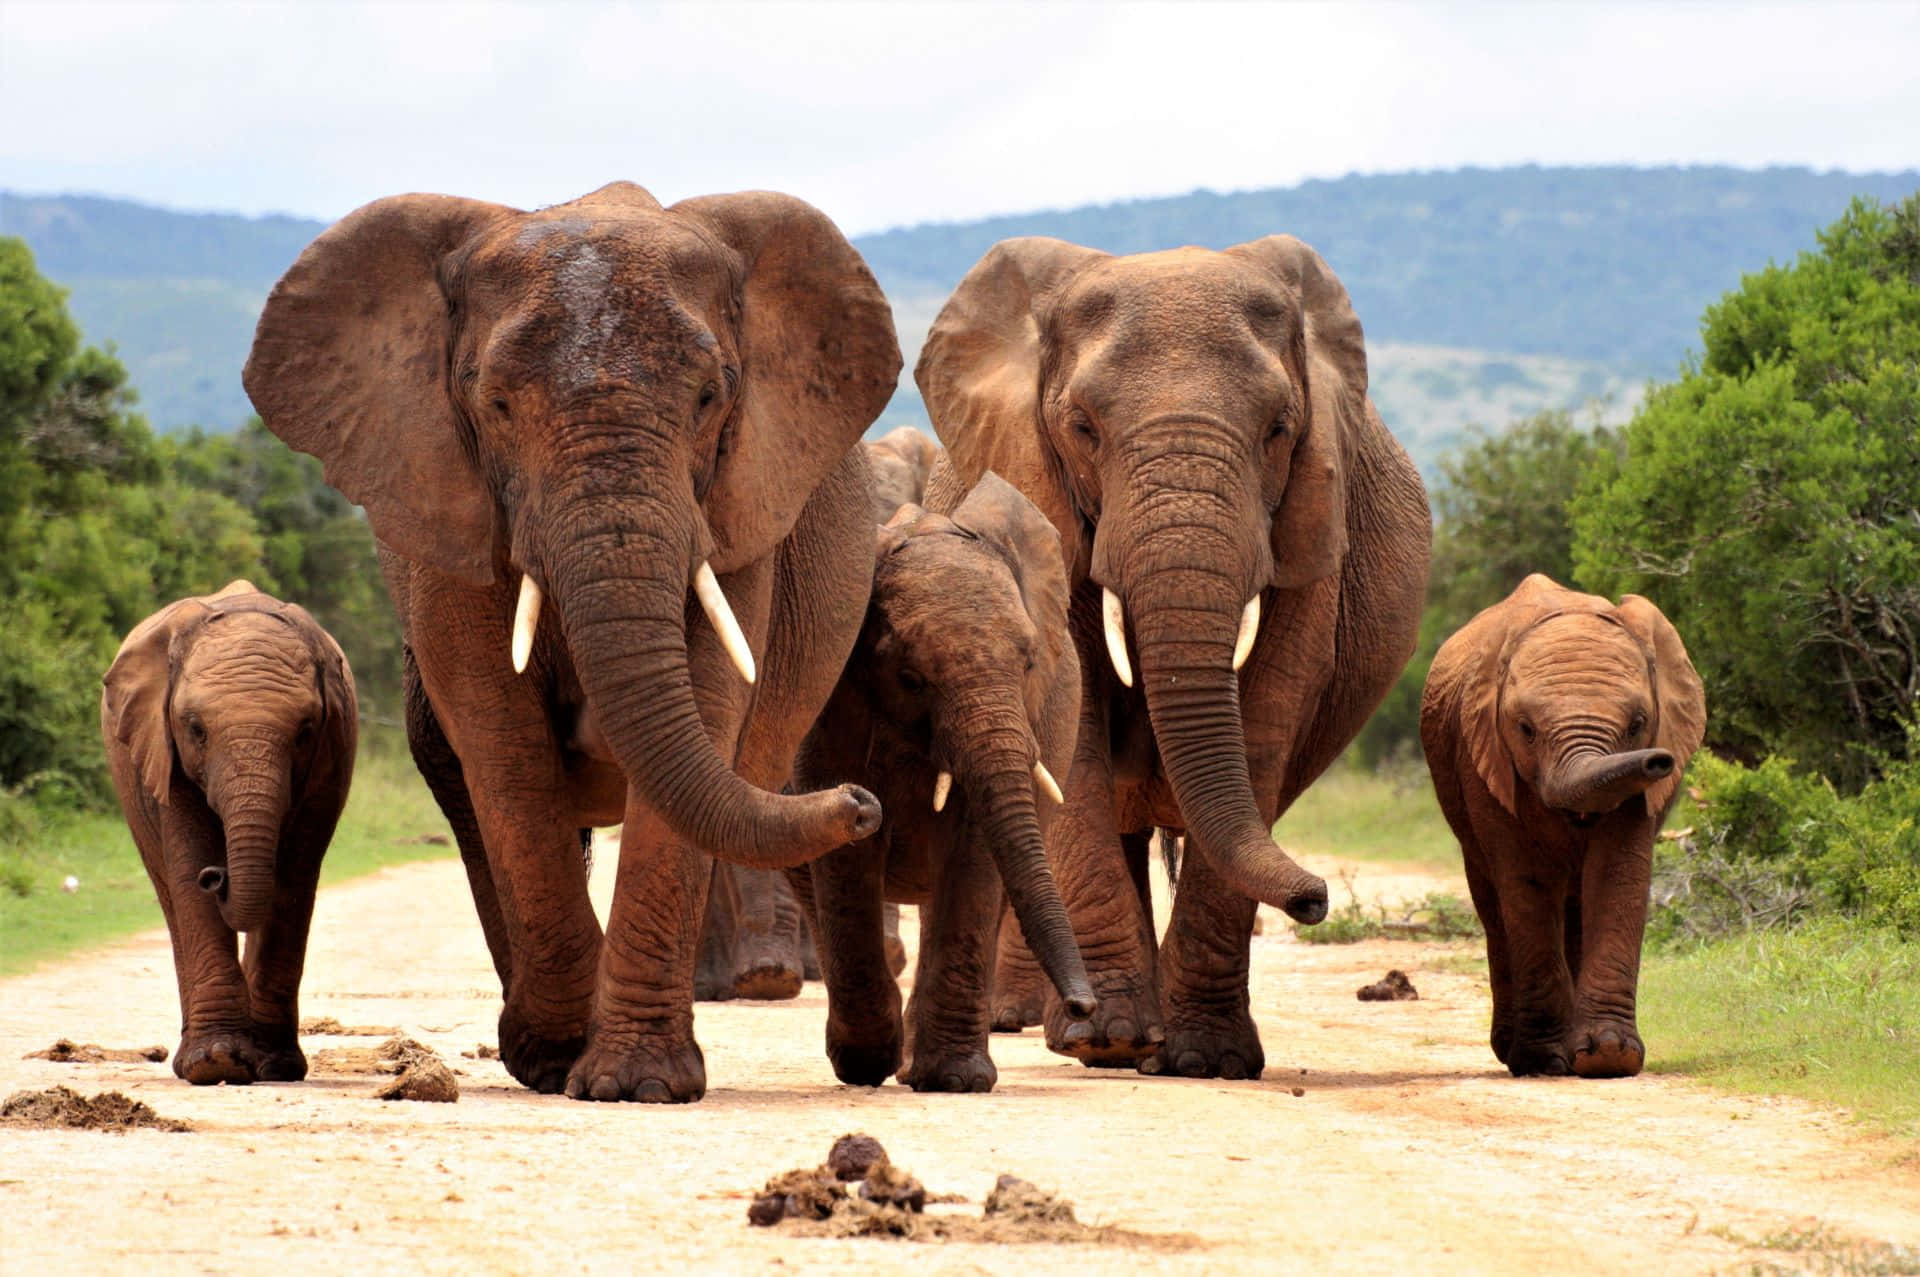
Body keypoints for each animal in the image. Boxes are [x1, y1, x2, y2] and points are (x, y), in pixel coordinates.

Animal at [100, 580, 357, 1085]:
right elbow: (188, 863)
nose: (217, 876)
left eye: (305, 731)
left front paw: (273, 1066)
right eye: (196, 729)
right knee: (169, 892)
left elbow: (295, 877)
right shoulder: (162, 748)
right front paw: (217, 1062)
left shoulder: (330, 756)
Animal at [244, 183, 901, 1102]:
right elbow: (502, 742)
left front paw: (636, 1083)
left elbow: (705, 711)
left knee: (758, 790)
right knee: (474, 791)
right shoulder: (446, 508)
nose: (862, 803)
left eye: (711, 397)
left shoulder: (736, 509)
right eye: (495, 405)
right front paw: (560, 1059)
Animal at [795, 464, 1096, 1092]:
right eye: (910, 678)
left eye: (1030, 662)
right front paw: (867, 1064)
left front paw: (954, 1079)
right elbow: (847, 847)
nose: (1084, 1007)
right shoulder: (832, 703)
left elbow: (974, 850)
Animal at [917, 234, 1431, 1079]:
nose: (1317, 898)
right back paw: (1090, 1032)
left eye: (1279, 429)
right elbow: (1078, 720)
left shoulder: (1309, 529)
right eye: (1082, 427)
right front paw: (1114, 1040)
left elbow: (1265, 718)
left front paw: (1208, 1060)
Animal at [1420, 574, 1705, 1078]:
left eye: (1638, 724)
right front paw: (1544, 1060)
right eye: (1525, 729)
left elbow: (1617, 874)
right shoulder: (1484, 759)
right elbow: (1526, 882)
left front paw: (1609, 1055)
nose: (1659, 761)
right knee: (1494, 905)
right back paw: (1515, 1050)